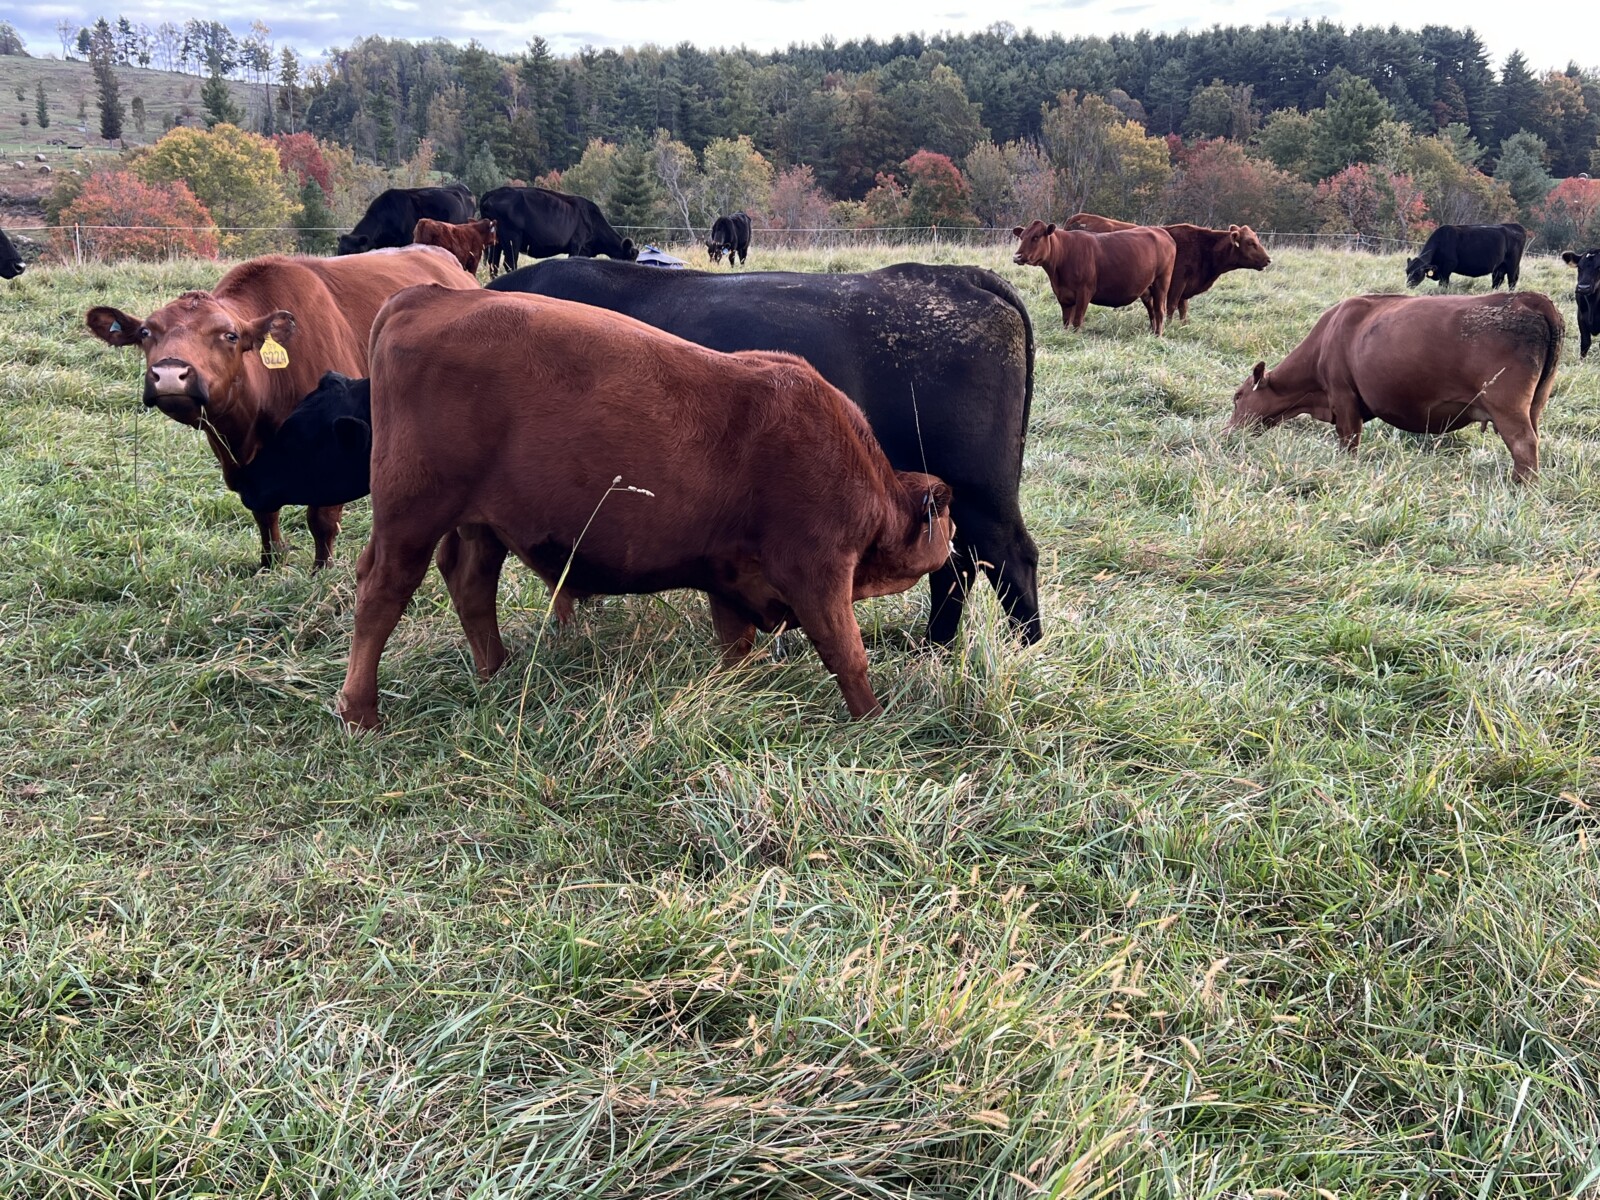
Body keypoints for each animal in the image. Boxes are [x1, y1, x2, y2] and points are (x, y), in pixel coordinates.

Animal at [335, 284, 956, 730]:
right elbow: (847, 655)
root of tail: (430, 295)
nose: (953, 545)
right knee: (381, 593)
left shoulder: (729, 575)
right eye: (947, 520)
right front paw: (875, 723)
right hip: (411, 516)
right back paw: (361, 712)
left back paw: (496, 672)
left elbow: (738, 646)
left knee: (470, 586)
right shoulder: (818, 571)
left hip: (479, 524)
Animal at [478, 186, 637, 275]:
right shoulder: (576, 245)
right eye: (630, 259)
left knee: (493, 265)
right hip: (512, 237)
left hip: (497, 242)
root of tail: (493, 192)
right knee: (509, 263)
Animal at [489, 258, 1039, 645]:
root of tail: (959, 276)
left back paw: (1021, 649)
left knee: (1009, 559)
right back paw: (935, 647)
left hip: (979, 489)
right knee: (954, 566)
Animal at [1012, 220, 1176, 335]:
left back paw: (1158, 335)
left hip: (1162, 283)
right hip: (1146, 289)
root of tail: (1160, 231)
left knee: (1160, 311)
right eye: (1022, 237)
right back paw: (1152, 332)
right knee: (1152, 310)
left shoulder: (1084, 291)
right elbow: (1066, 321)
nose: (1017, 256)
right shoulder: (1063, 295)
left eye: (1036, 237)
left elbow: (1077, 321)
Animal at [1225, 291, 1564, 483]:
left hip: (1507, 408)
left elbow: (1348, 443)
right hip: (1534, 405)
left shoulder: (1343, 399)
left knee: (1523, 445)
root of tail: (1529, 298)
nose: (1227, 433)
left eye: (1237, 397)